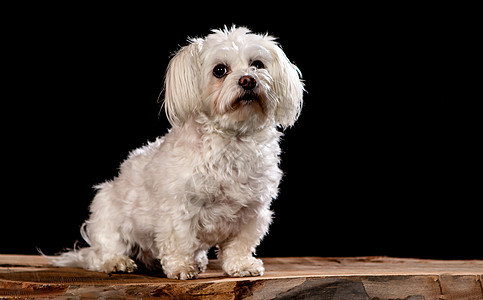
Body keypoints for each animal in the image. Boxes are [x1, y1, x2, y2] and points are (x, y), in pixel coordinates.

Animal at [51, 25, 304, 278]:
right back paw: (116, 262)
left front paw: (241, 265)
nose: (248, 80)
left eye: (257, 64)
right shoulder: (178, 208)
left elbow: (239, 244)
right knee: (101, 252)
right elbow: (179, 240)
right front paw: (181, 267)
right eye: (220, 70)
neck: (233, 139)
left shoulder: (251, 212)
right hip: (107, 208)